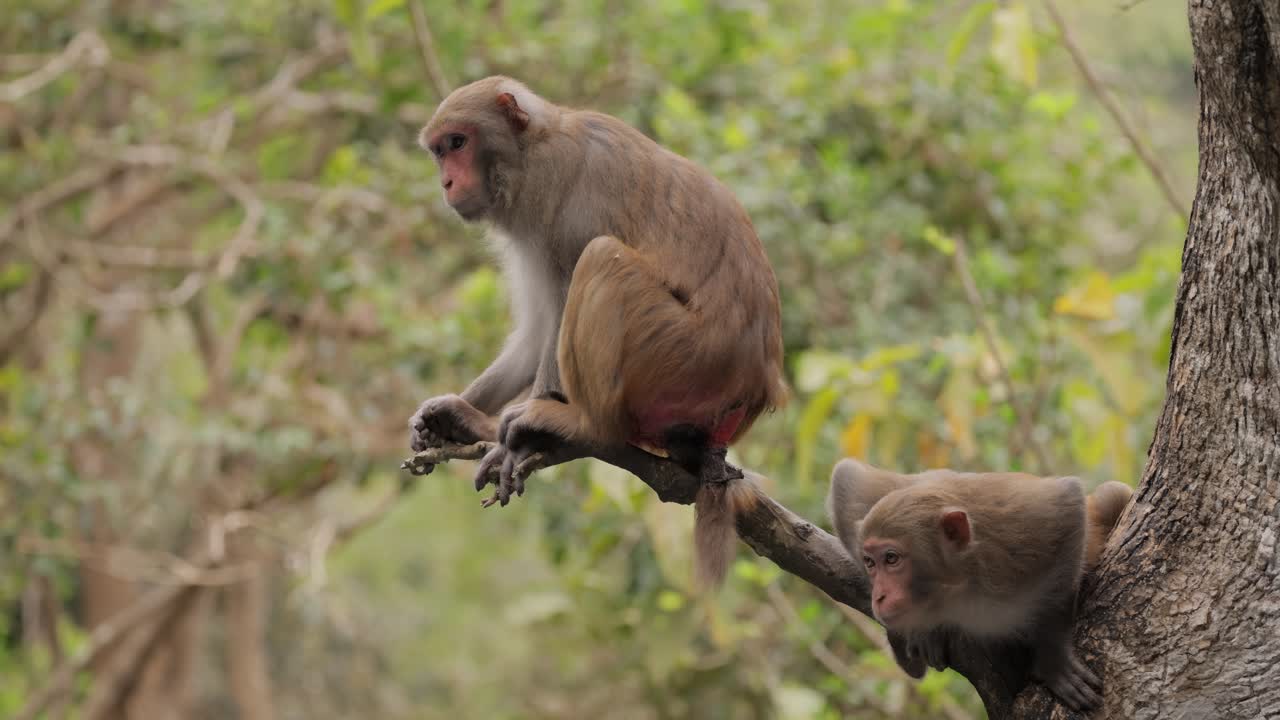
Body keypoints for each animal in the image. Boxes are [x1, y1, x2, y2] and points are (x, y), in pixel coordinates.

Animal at [407, 76, 787, 586]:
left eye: (458, 143)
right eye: (439, 151)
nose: (446, 182)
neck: (532, 150)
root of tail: (756, 388)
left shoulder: (566, 199)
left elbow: (562, 302)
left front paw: (516, 441)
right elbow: (534, 334)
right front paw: (452, 413)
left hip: (686, 357)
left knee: (603, 259)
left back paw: (579, 425)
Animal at [826, 458, 1133, 711]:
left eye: (891, 559)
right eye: (869, 562)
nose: (879, 596)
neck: (959, 581)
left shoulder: (1016, 533)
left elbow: (1067, 503)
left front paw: (1054, 659)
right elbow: (848, 478)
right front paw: (920, 630)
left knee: (1112, 494)